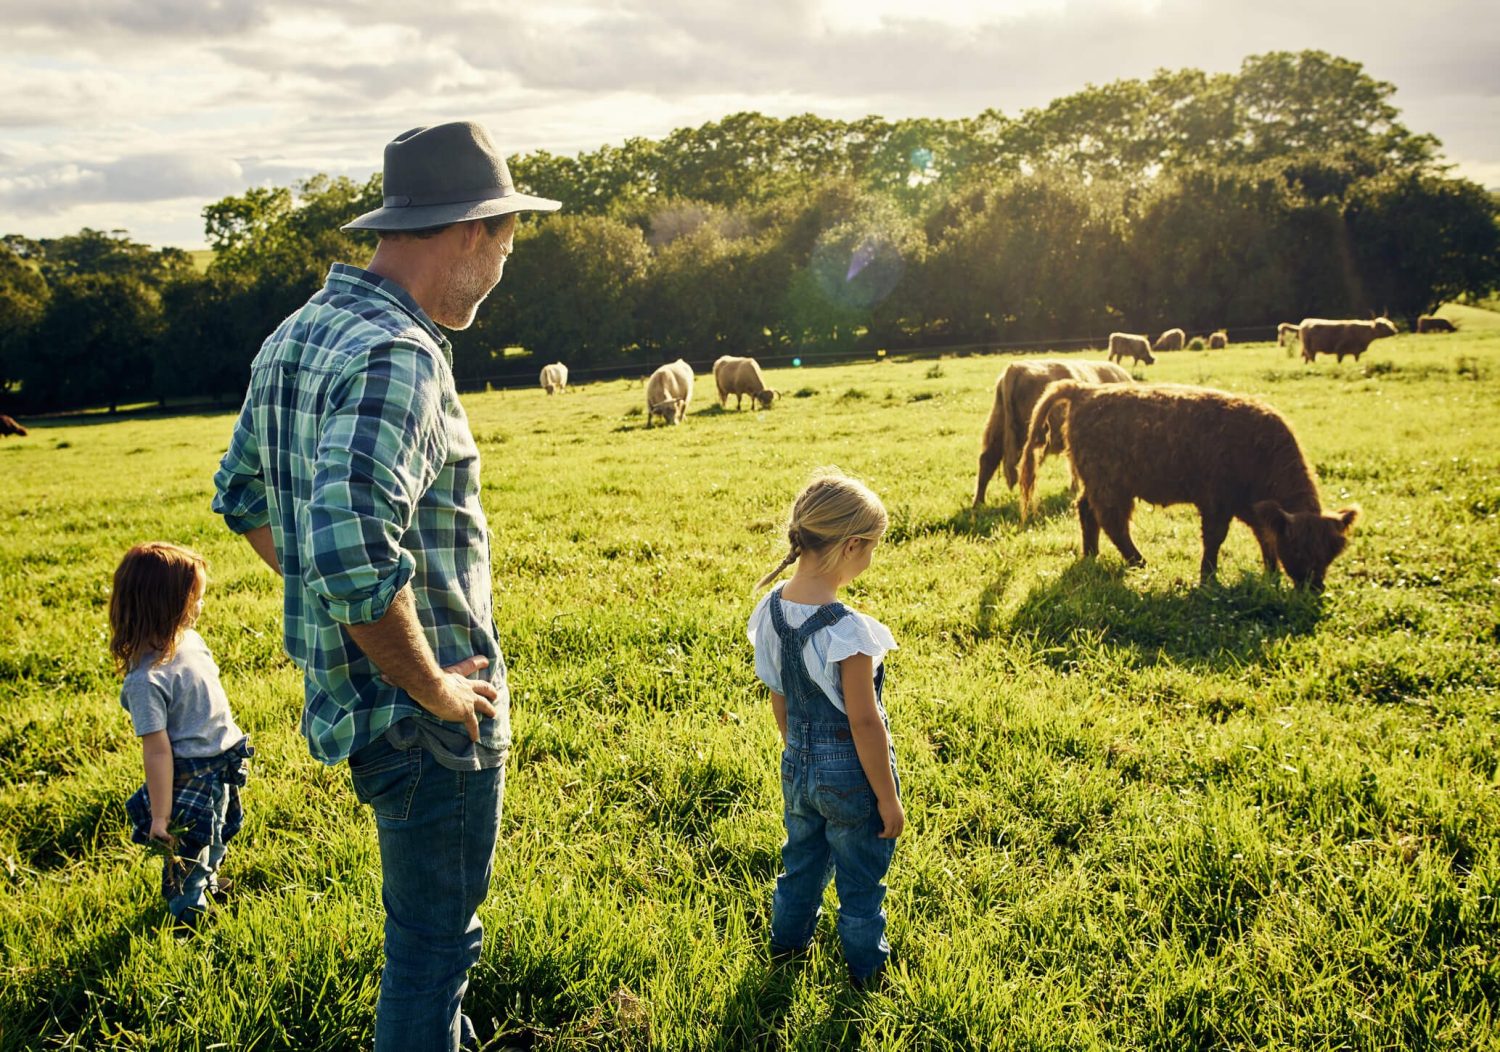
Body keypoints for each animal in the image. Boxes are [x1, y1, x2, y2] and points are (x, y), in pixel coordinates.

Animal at [1020, 379, 1362, 591]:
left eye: (1332, 552)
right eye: (1299, 549)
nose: (1314, 589)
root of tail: (1085, 390)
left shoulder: (1252, 508)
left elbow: (1265, 537)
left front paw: (1271, 573)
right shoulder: (1216, 502)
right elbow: (1214, 540)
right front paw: (1208, 579)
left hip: (1098, 482)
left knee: (1086, 511)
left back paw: (1091, 555)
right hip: (1110, 484)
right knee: (1112, 522)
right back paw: (1140, 563)